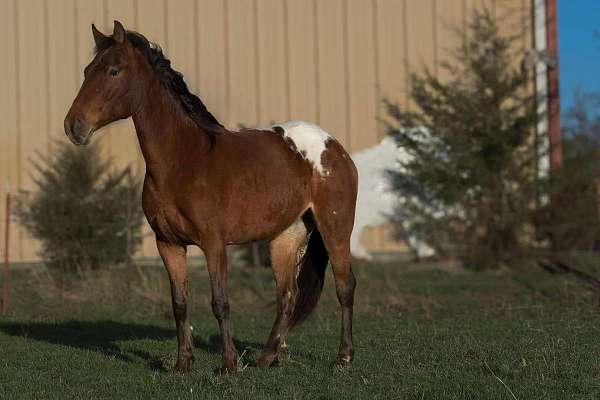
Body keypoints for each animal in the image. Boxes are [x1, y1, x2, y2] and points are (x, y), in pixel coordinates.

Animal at [63, 20, 358, 374]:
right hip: (286, 237)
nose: (74, 126)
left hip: (335, 230)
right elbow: (179, 304)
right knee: (287, 295)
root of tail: (334, 146)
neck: (185, 160)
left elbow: (220, 302)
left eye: (113, 71)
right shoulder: (168, 244)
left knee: (344, 286)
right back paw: (266, 359)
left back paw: (343, 358)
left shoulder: (214, 244)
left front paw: (228, 365)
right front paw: (182, 364)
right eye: (86, 70)